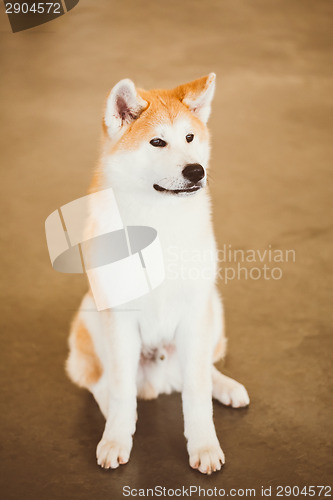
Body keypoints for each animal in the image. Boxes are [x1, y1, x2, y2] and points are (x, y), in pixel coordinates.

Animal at [66, 73, 248, 472]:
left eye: (190, 138)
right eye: (157, 141)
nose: (196, 171)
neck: (159, 222)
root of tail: (161, 379)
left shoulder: (195, 311)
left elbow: (197, 391)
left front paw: (204, 445)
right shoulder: (119, 317)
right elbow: (120, 390)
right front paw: (117, 438)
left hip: (212, 306)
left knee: (202, 370)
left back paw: (226, 387)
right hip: (89, 316)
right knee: (101, 384)